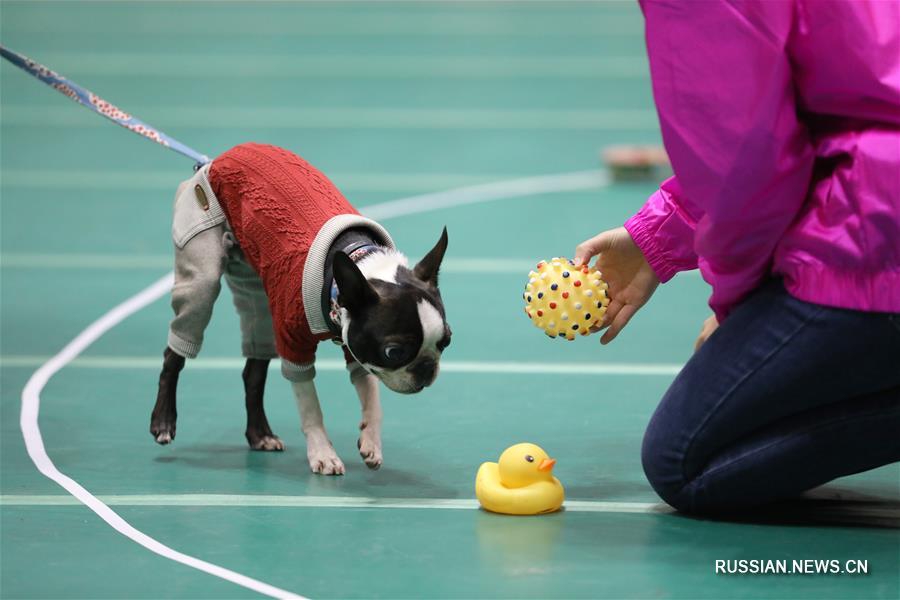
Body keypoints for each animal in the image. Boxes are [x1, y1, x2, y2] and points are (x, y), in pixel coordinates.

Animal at [152, 143, 458, 476]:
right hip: (201, 266)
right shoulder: (294, 345)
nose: (427, 368)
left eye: (446, 342)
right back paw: (164, 420)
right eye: (394, 352)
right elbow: (311, 407)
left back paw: (260, 434)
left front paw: (371, 441)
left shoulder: (354, 343)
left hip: (259, 293)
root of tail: (220, 158)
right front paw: (323, 453)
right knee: (175, 350)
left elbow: (371, 395)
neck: (357, 261)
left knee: (253, 370)